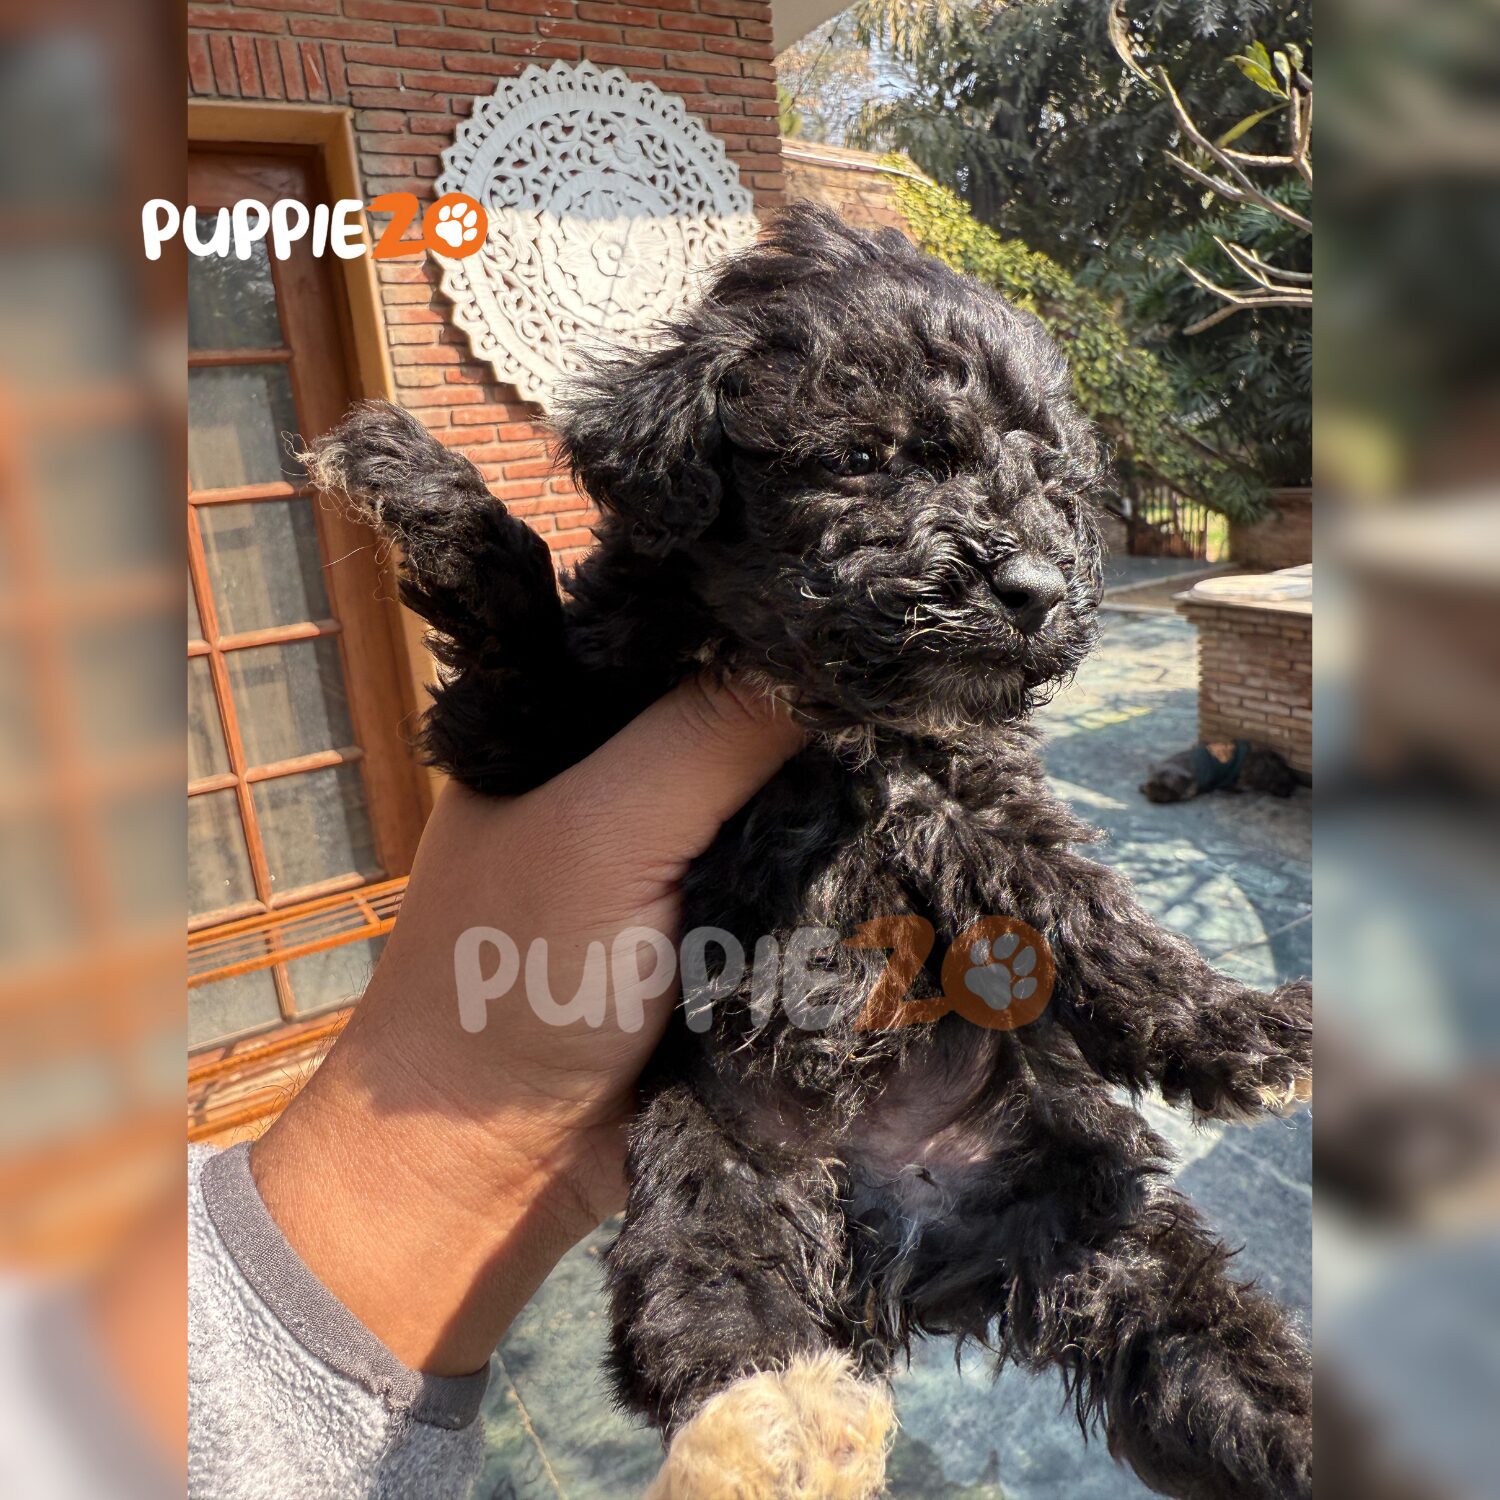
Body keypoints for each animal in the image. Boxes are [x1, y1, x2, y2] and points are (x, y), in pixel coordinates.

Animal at [306, 205, 1312, 1500]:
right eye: (868, 458)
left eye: (1051, 482)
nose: (1038, 586)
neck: (829, 717)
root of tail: (911, 1238)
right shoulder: (520, 743)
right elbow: (522, 628)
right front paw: (419, 481)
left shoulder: (977, 794)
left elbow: (1082, 908)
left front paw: (1235, 1029)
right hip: (711, 1149)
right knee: (705, 1301)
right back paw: (775, 1420)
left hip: (1097, 1213)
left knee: (1210, 1348)